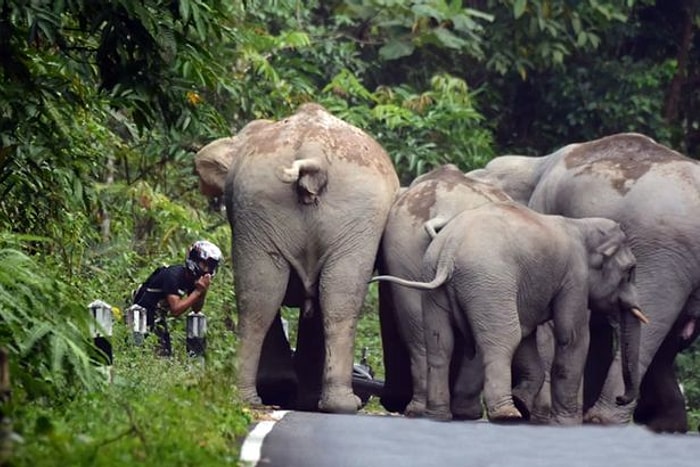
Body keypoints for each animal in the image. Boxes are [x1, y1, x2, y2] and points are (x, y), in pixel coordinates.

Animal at [374, 201, 648, 424]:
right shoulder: (574, 278)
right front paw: (566, 422)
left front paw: (524, 401)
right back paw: (506, 414)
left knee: (440, 344)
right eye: (630, 271)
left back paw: (438, 416)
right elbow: (571, 338)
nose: (621, 398)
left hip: (432, 281)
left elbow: (528, 336)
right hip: (488, 282)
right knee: (503, 339)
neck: (581, 225)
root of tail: (449, 247)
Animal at [468, 132, 700, 432]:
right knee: (663, 340)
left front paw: (540, 415)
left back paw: (604, 419)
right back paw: (664, 425)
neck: (534, 164)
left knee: (653, 323)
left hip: (663, 254)